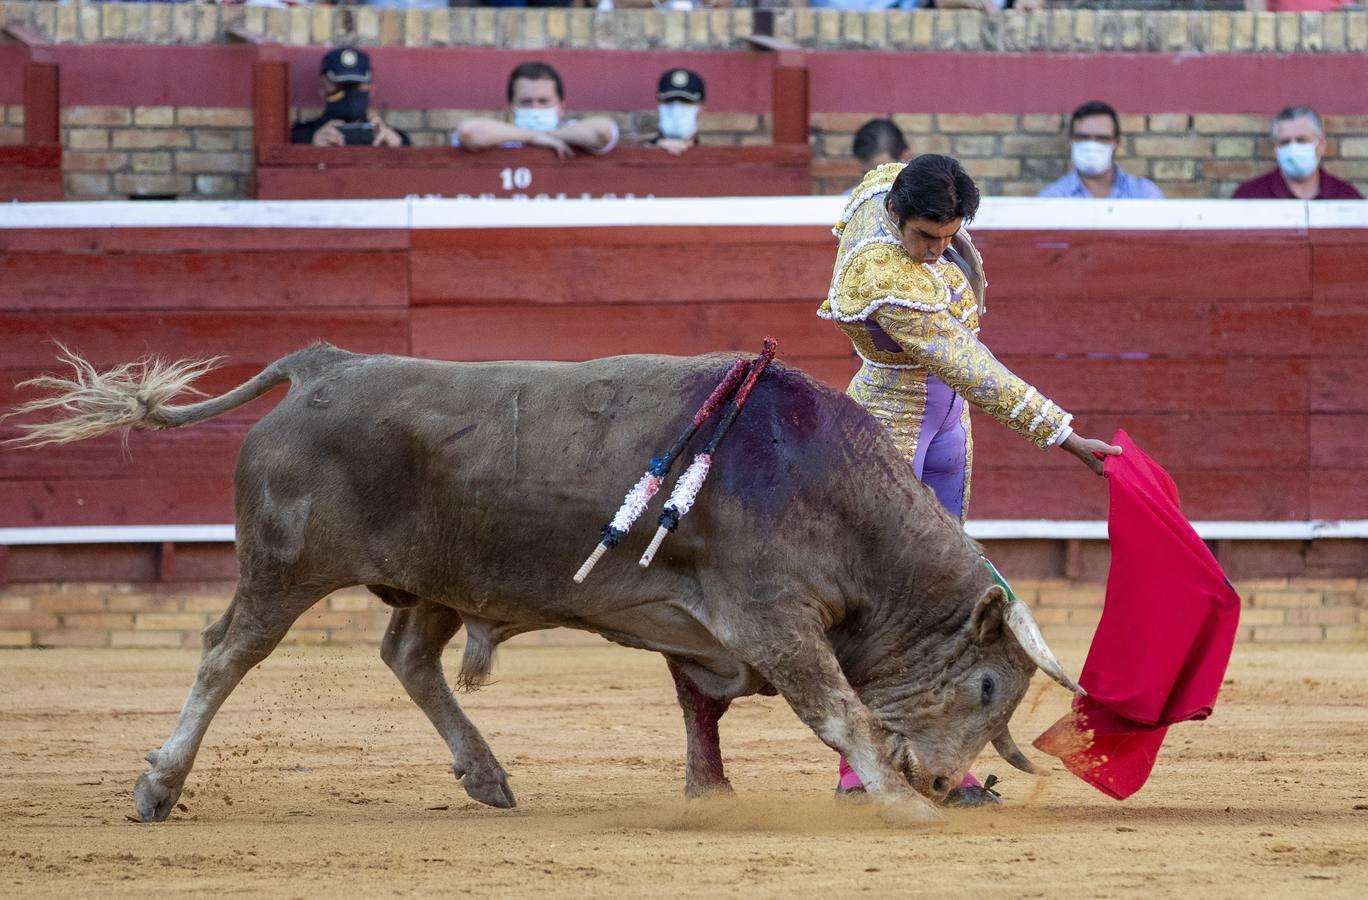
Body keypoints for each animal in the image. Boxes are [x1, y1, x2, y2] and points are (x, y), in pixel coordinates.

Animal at [10, 343, 1077, 820]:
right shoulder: (770, 621)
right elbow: (838, 709)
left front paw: (716, 795)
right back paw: (157, 784)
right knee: (226, 653)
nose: (945, 779)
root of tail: (327, 362)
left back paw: (486, 775)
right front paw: (898, 804)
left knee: (408, 657)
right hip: (282, 569)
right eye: (988, 684)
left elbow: (710, 708)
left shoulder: (705, 634)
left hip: (437, 584)